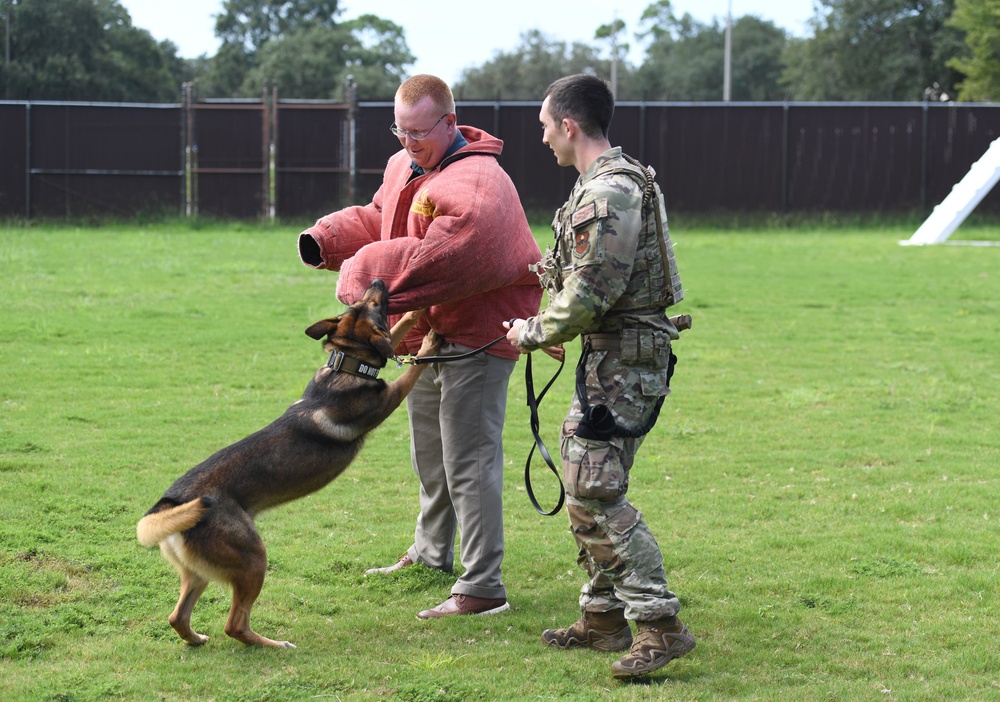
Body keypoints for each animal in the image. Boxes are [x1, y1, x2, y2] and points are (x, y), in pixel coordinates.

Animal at [138, 280, 442, 648]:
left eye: (362, 302)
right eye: (375, 305)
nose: (378, 282)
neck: (346, 364)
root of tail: (172, 502)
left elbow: (397, 334)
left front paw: (416, 313)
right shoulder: (390, 398)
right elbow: (412, 369)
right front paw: (429, 344)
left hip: (199, 572)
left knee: (177, 617)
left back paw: (196, 639)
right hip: (254, 559)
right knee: (235, 625)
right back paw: (274, 645)